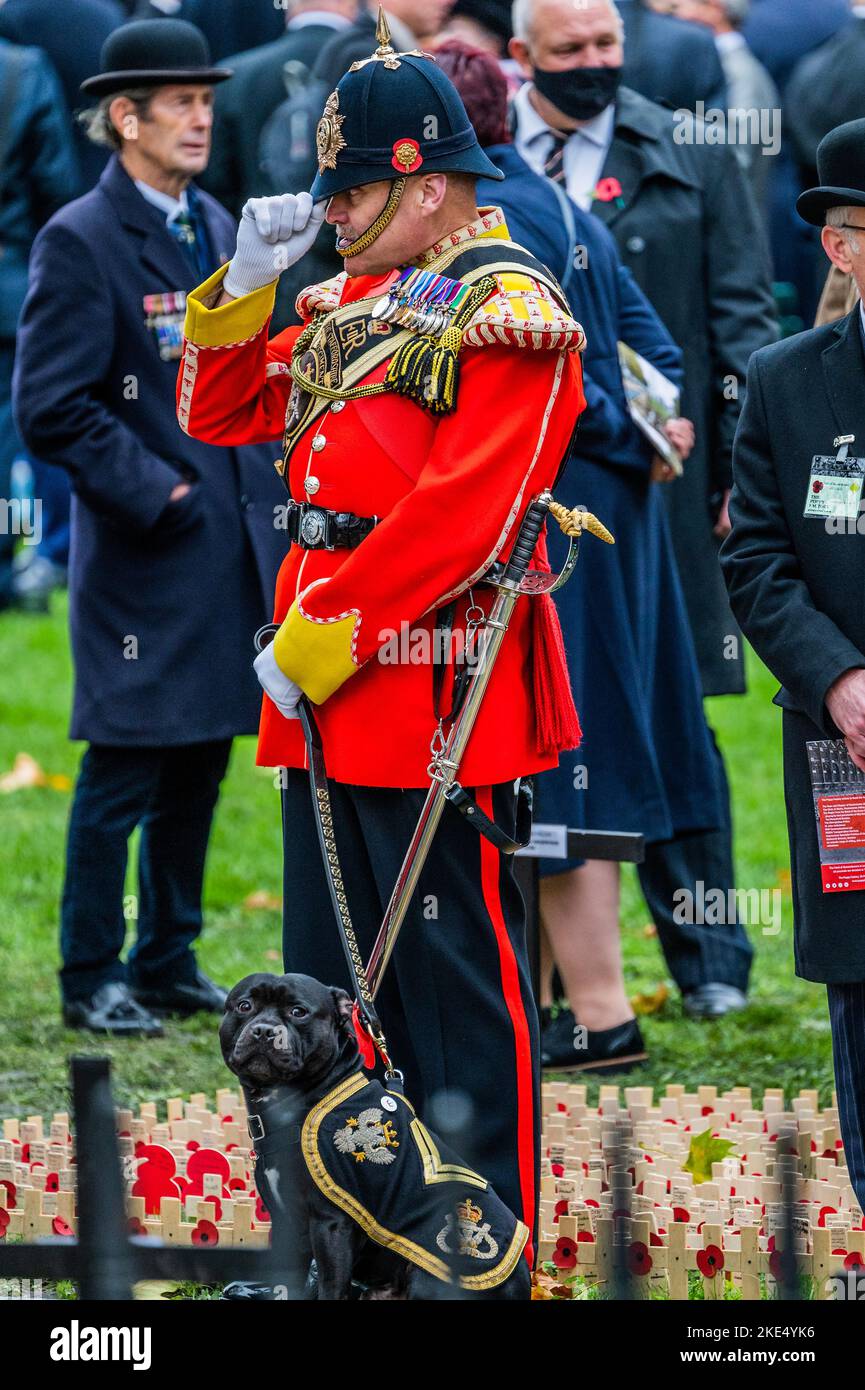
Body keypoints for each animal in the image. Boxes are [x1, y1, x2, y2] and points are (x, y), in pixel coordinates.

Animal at [219, 973, 531, 1295]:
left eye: (298, 1012)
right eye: (244, 1005)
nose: (265, 1030)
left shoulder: (331, 1224)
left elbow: (331, 1285)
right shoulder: (285, 1222)